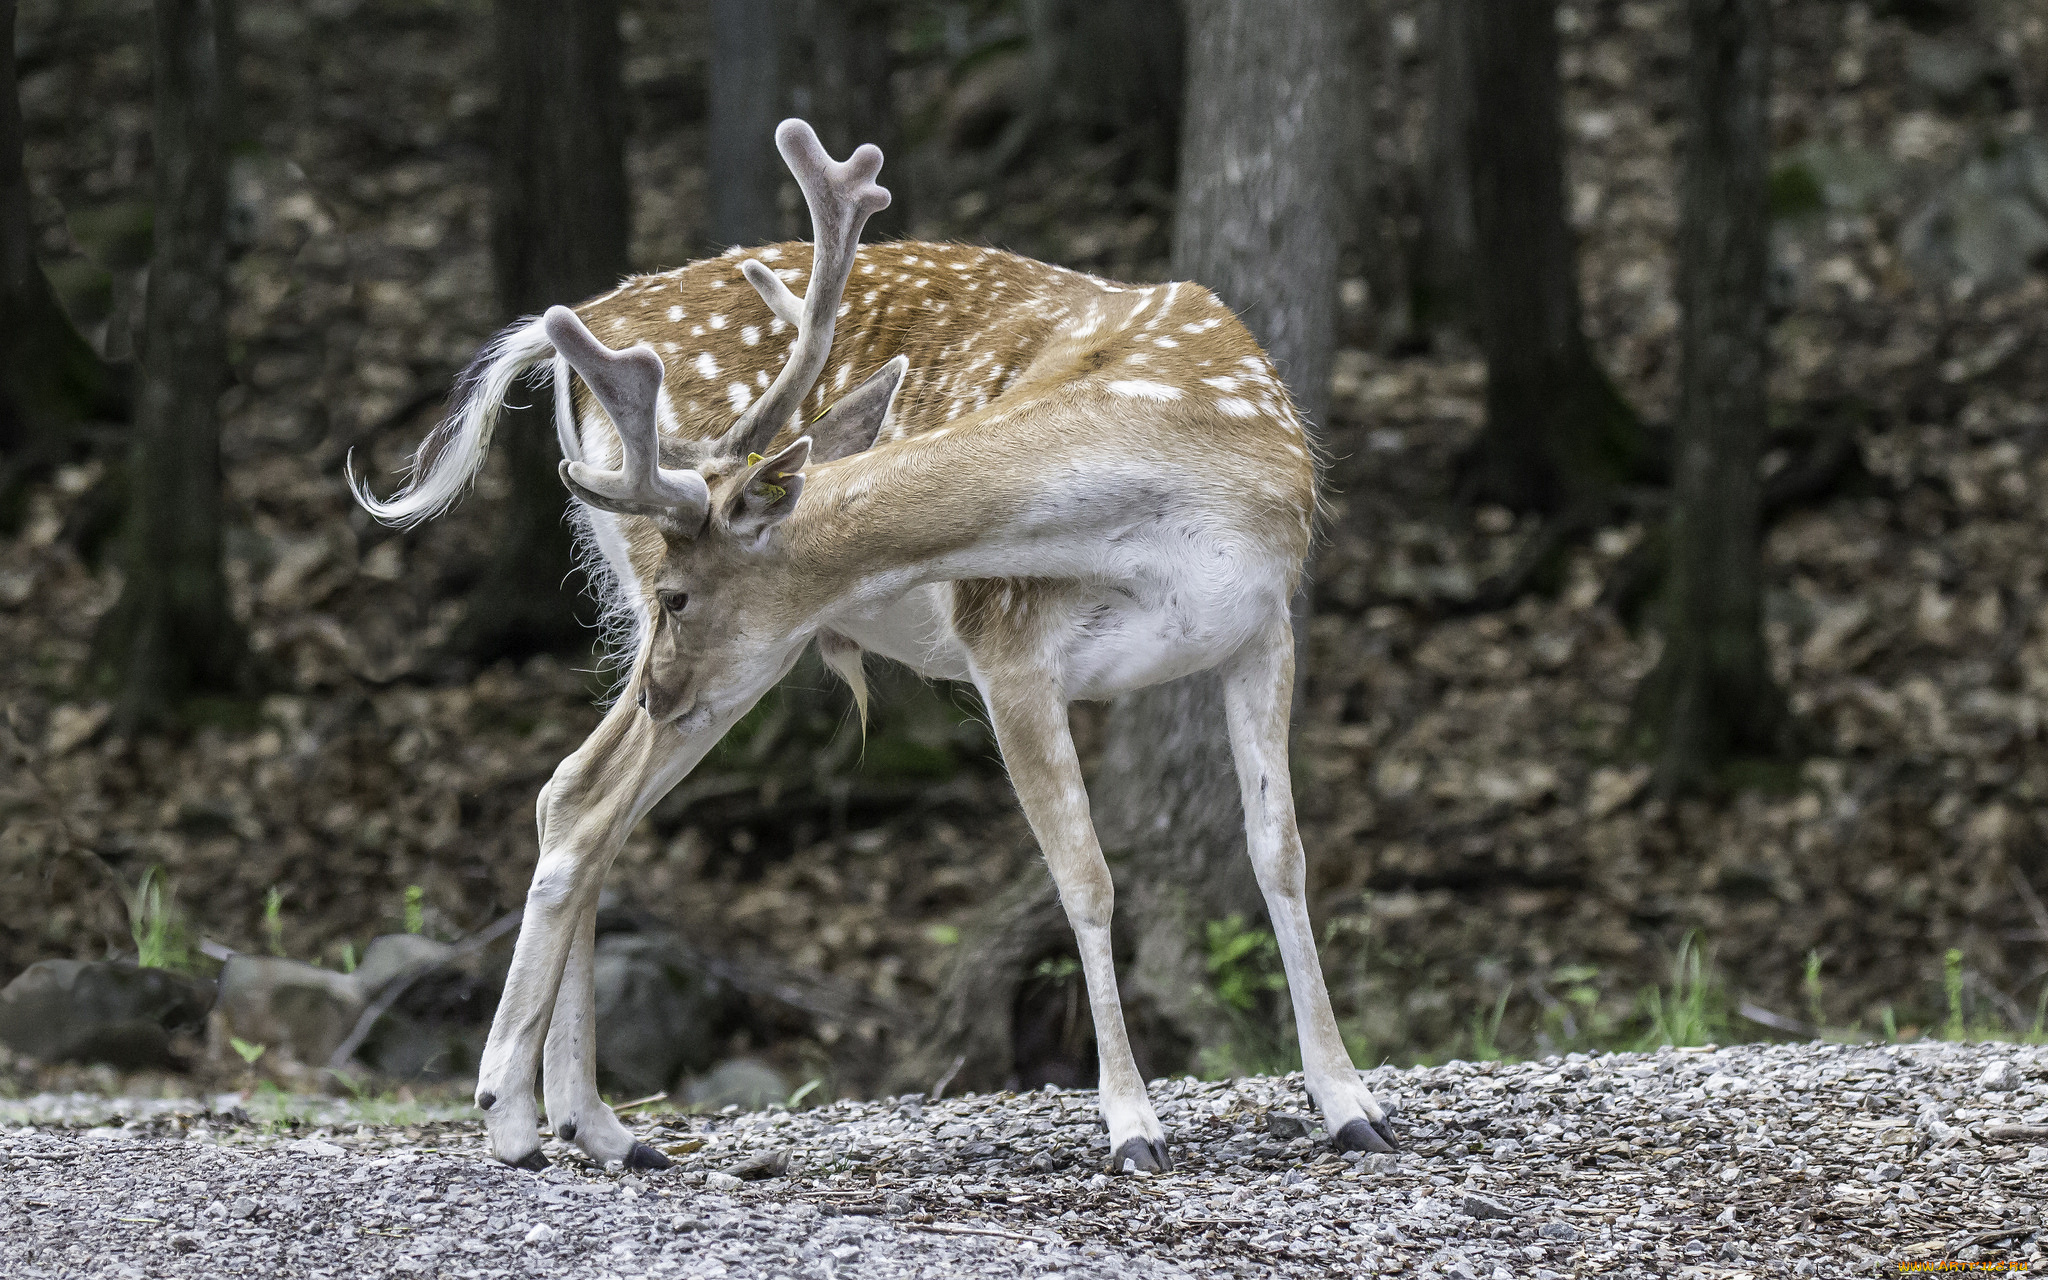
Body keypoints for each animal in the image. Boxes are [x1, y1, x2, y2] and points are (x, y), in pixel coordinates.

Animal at [356, 117, 1409, 1171]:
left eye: (684, 595)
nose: (660, 680)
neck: (1175, 494)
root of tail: (577, 329)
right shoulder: (1006, 643)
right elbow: (1086, 880)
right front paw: (1131, 1123)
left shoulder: (1263, 625)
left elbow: (1281, 856)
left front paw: (1349, 1103)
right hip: (716, 647)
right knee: (584, 800)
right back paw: (515, 1114)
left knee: (580, 795)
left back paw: (598, 1125)